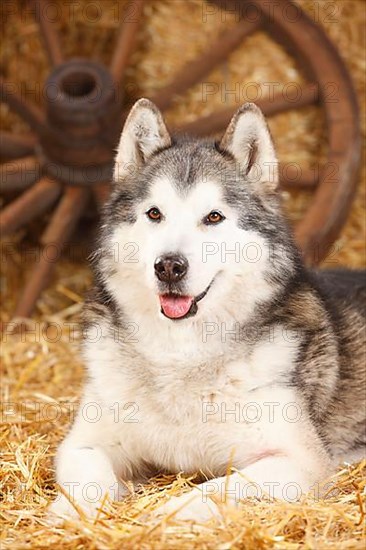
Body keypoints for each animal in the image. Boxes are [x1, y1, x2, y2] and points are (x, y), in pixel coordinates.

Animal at [50, 98, 364, 520]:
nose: (169, 266)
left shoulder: (300, 462)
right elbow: (88, 478)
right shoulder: (84, 441)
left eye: (213, 217)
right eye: (154, 213)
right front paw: (70, 517)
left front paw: (160, 518)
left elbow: (210, 492)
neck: (180, 354)